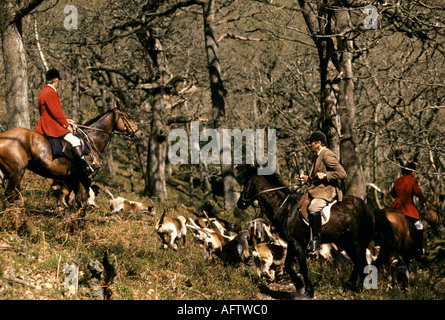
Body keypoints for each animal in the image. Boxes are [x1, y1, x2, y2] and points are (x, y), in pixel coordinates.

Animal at [0, 104, 140, 226]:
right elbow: (82, 201)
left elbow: (71, 201)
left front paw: (67, 223)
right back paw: (18, 220)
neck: (92, 140)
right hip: (17, 173)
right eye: (128, 117)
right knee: (11, 194)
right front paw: (80, 226)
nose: (139, 133)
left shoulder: (72, 178)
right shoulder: (85, 178)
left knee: (14, 195)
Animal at [236, 166, 374, 298]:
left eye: (246, 184)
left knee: (362, 263)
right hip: (347, 243)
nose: (239, 203)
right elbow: (288, 265)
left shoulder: (297, 243)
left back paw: (360, 289)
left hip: (357, 242)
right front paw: (299, 286)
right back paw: (350, 286)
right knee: (357, 263)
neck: (286, 207)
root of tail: (367, 208)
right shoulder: (292, 243)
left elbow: (302, 267)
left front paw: (308, 291)